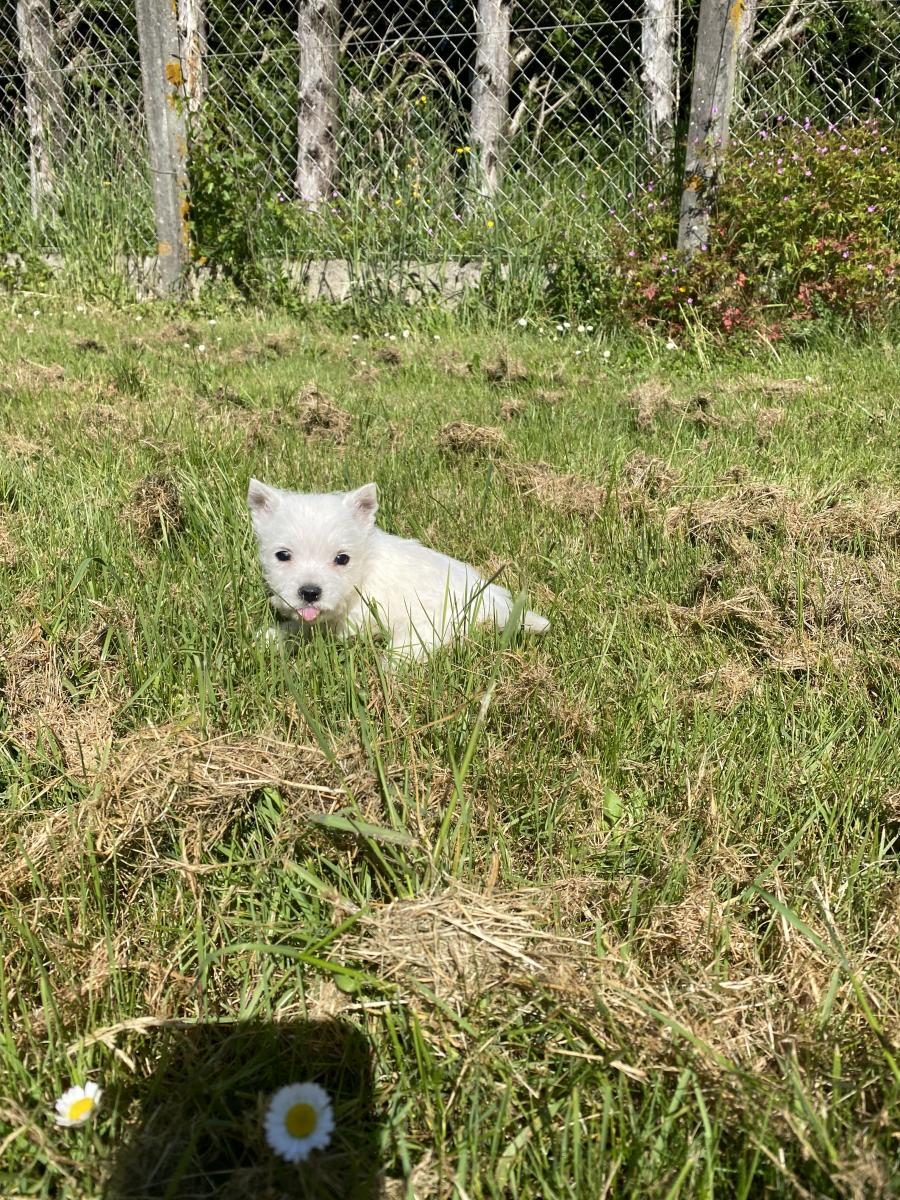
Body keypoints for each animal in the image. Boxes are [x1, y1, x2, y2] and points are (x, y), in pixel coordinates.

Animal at [250, 477, 554, 657]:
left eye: (342, 559)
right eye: (282, 555)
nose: (310, 592)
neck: (364, 572)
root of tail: (497, 603)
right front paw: (271, 636)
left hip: (433, 624)